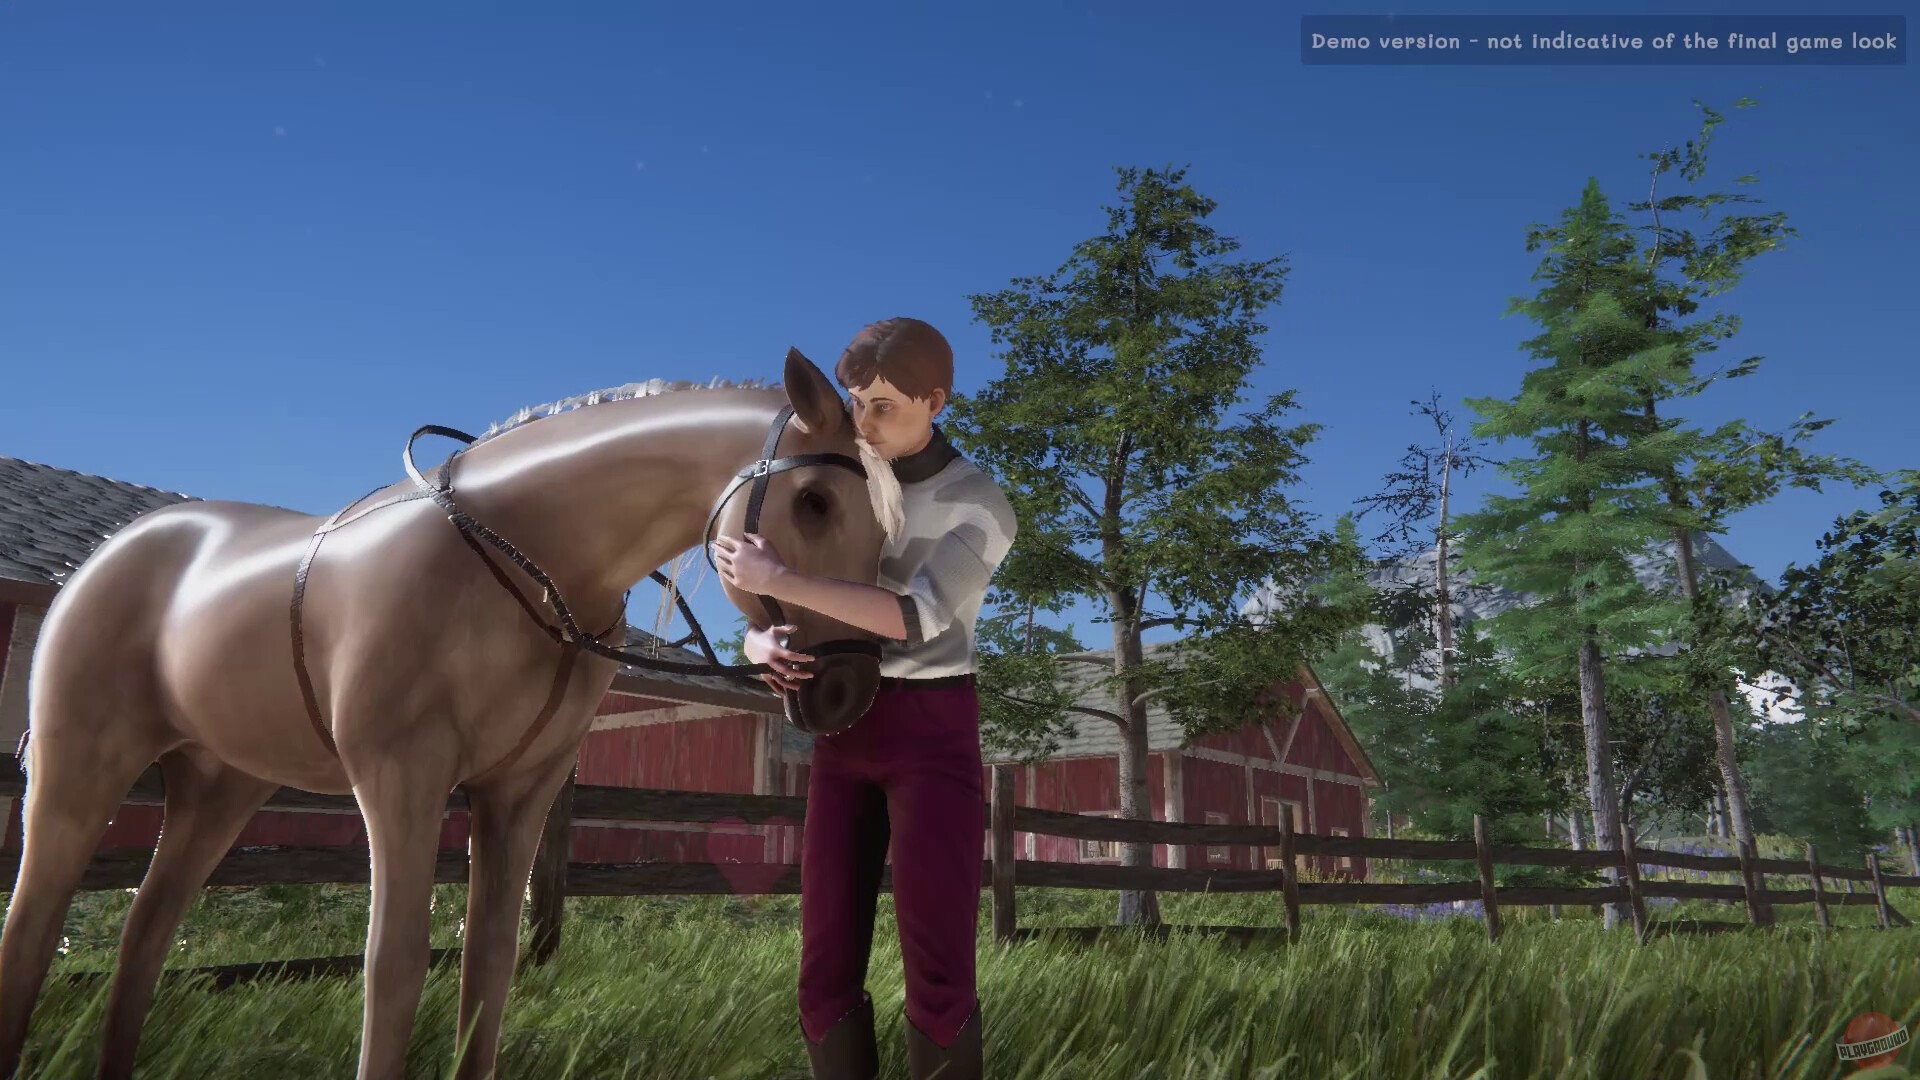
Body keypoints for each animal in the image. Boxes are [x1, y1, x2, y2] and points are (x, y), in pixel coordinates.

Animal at [0, 347, 897, 1080]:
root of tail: (109, 555)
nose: (847, 689)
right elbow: (392, 965)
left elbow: (488, 963)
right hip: (79, 772)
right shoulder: (403, 775)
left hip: (217, 787)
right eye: (814, 502)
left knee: (145, 933)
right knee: (32, 927)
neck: (532, 563)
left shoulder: (521, 790)